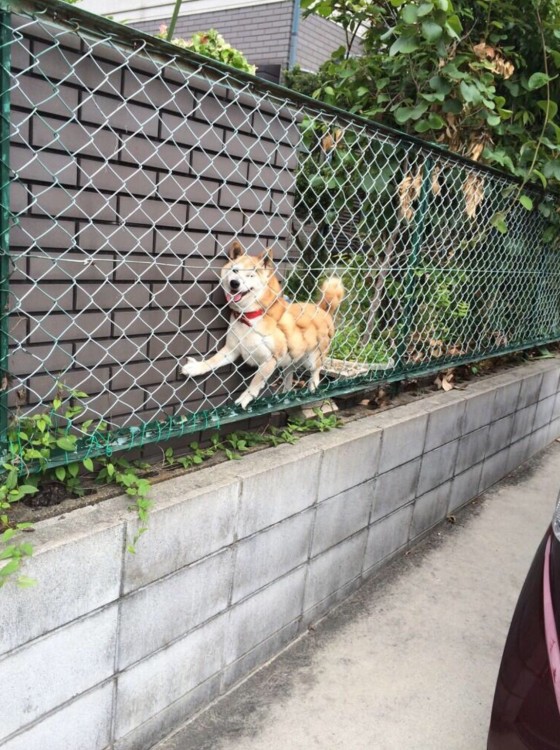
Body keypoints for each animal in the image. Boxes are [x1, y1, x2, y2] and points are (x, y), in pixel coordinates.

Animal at [182, 241, 344, 408]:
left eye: (251, 274)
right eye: (235, 270)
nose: (235, 283)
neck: (249, 317)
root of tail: (322, 309)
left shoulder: (270, 359)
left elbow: (256, 381)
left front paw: (245, 398)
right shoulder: (232, 348)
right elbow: (213, 361)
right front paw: (197, 368)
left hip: (312, 359)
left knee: (316, 371)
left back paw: (312, 387)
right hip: (291, 359)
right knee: (289, 376)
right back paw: (285, 393)